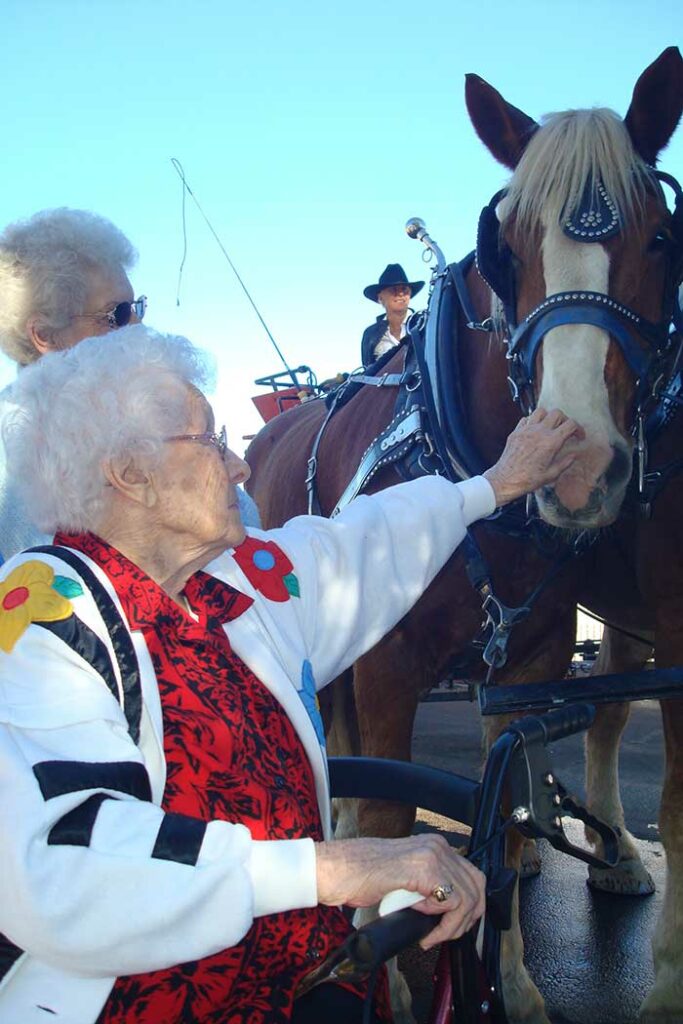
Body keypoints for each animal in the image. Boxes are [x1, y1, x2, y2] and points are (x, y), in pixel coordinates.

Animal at [246, 51, 683, 1024]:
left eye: (660, 241)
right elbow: (388, 816)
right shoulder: (386, 669)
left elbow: (511, 828)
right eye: (503, 253)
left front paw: (512, 984)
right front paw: (383, 981)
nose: (574, 464)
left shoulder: (529, 664)